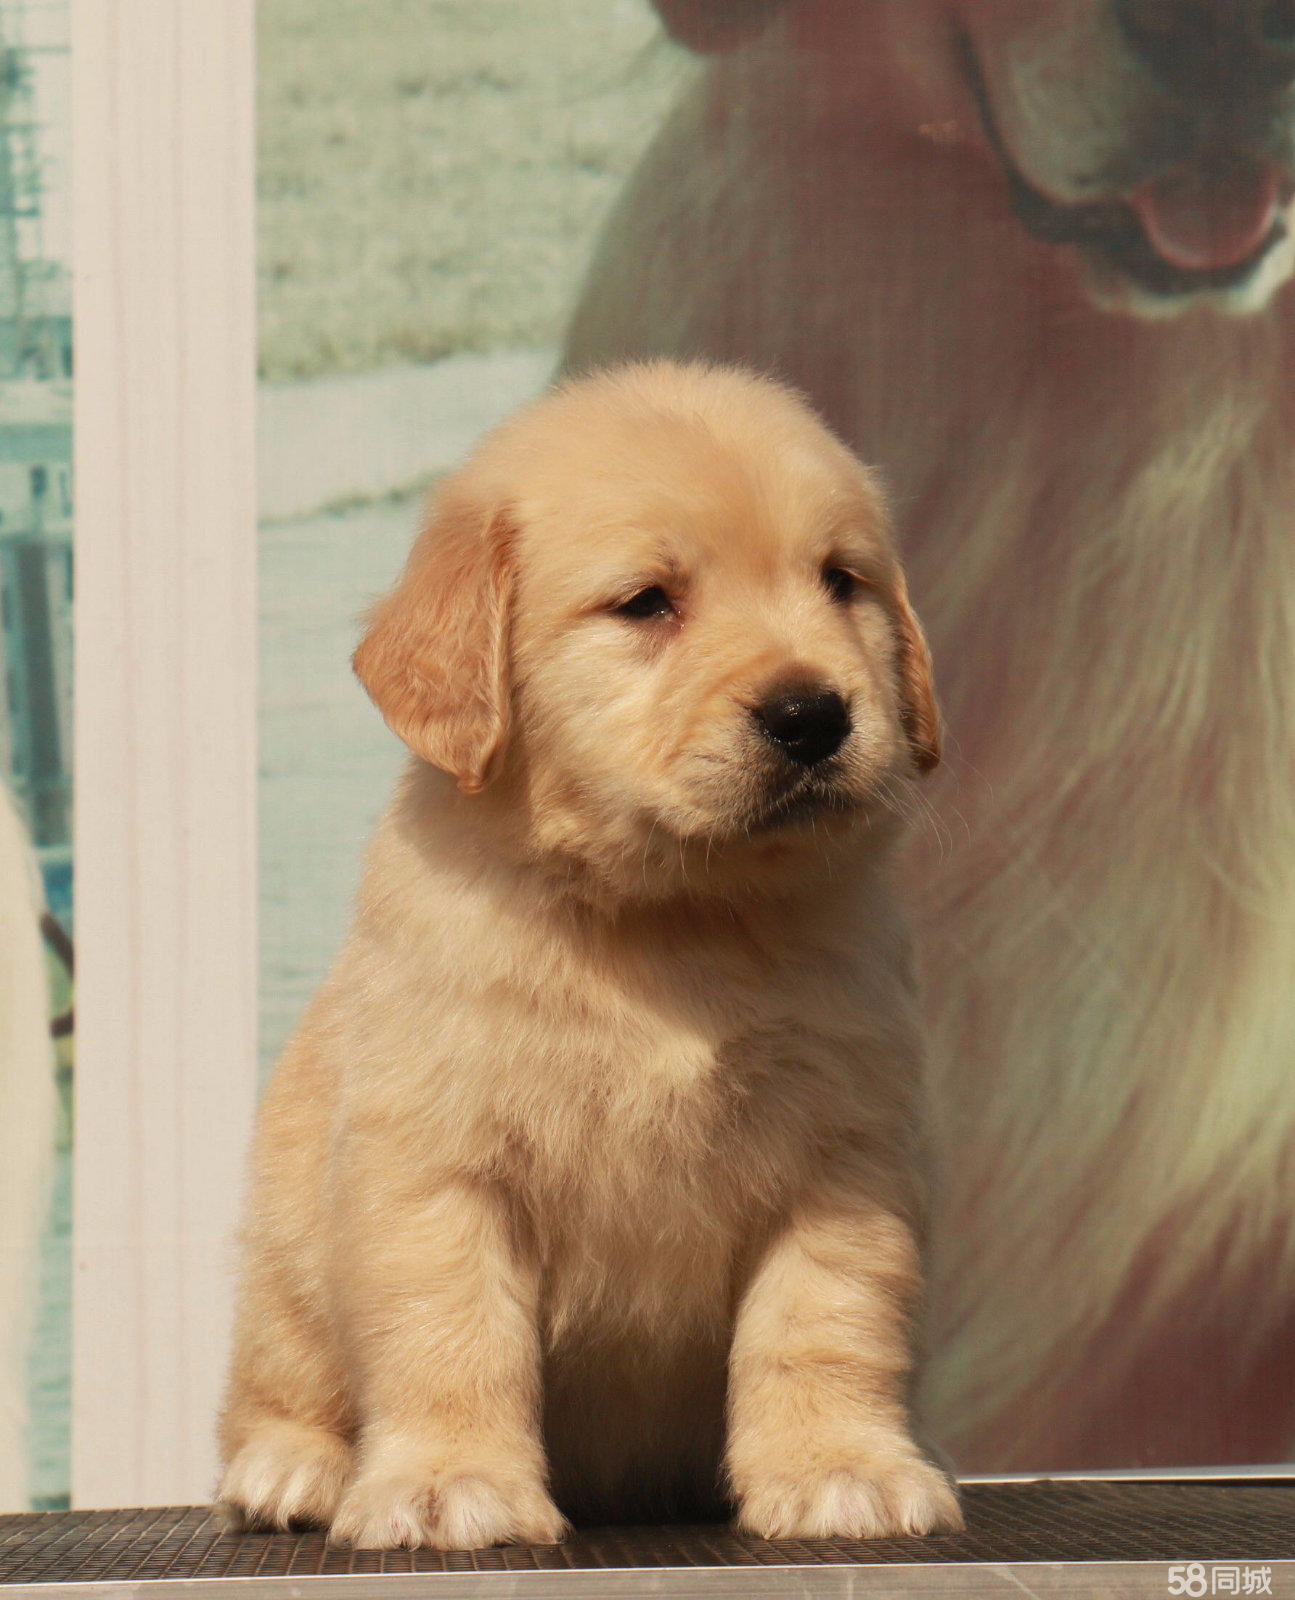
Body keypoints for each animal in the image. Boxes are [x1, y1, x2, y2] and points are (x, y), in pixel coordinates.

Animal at [217, 366, 954, 1548]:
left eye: (842, 583)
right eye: (646, 603)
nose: (812, 714)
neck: (669, 916)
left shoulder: (844, 1155)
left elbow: (823, 1320)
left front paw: (843, 1465)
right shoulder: (437, 1161)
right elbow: (449, 1330)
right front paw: (447, 1481)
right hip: (284, 1260)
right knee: (276, 1384)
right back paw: (291, 1469)